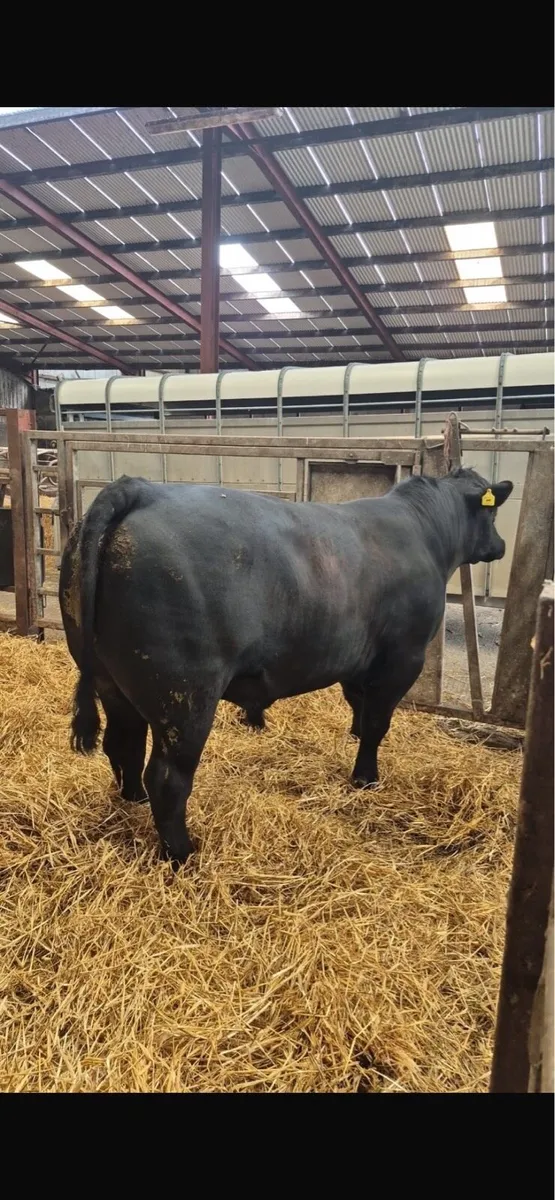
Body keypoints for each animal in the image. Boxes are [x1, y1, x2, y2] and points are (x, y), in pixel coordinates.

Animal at [59, 467, 513, 867]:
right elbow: (377, 724)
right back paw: (182, 854)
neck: (423, 531)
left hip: (112, 683)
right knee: (168, 777)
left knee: (123, 745)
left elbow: (359, 706)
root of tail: (140, 488)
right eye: (491, 513)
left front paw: (354, 741)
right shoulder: (403, 656)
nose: (501, 545)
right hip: (185, 695)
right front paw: (365, 778)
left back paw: (132, 799)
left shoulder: (357, 658)